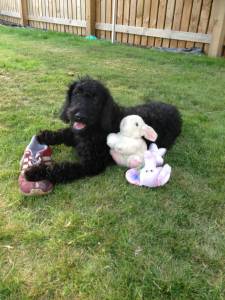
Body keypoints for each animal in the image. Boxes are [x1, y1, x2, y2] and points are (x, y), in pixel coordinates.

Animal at [25, 77, 182, 185]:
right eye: (76, 93)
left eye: (95, 99)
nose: (79, 116)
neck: (94, 129)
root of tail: (175, 109)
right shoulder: (76, 136)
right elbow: (64, 133)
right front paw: (44, 135)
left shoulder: (91, 163)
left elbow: (64, 168)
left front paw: (35, 171)